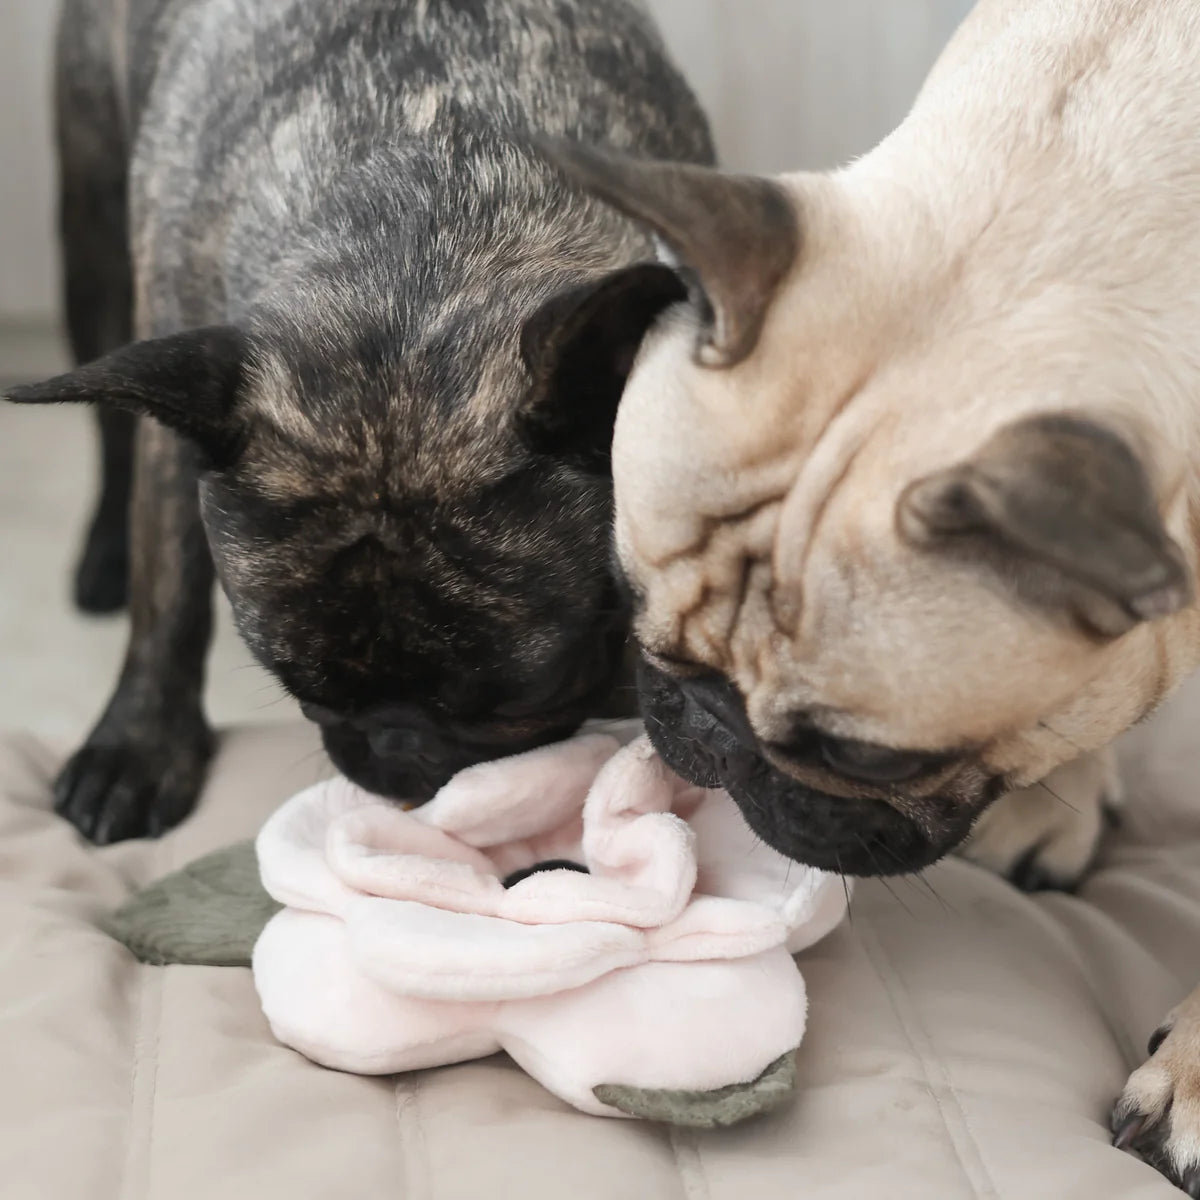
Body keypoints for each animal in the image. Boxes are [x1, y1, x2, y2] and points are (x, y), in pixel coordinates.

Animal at [4, 0, 705, 844]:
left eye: (522, 698)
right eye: (302, 690)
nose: (397, 751)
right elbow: (167, 588)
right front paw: (138, 745)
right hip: (98, 236)